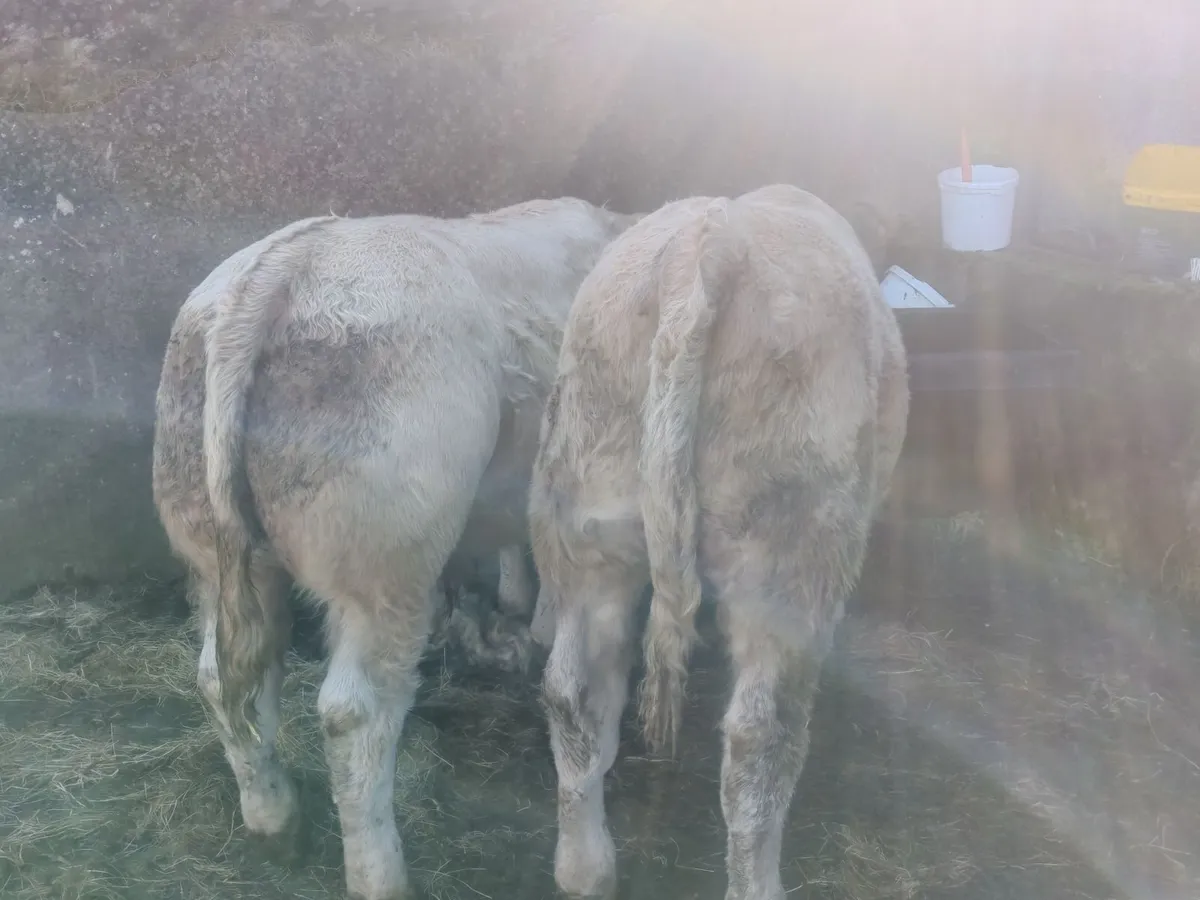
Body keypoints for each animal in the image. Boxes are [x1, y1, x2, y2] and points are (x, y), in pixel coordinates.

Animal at [151, 196, 638, 900]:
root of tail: (274, 273)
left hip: (211, 538)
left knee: (228, 678)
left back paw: (274, 819)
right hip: (385, 555)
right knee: (353, 714)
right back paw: (379, 872)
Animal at [527, 184, 910, 900]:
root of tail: (705, 246)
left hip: (587, 507)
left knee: (572, 692)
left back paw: (585, 867)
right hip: (789, 548)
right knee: (760, 739)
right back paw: (757, 883)